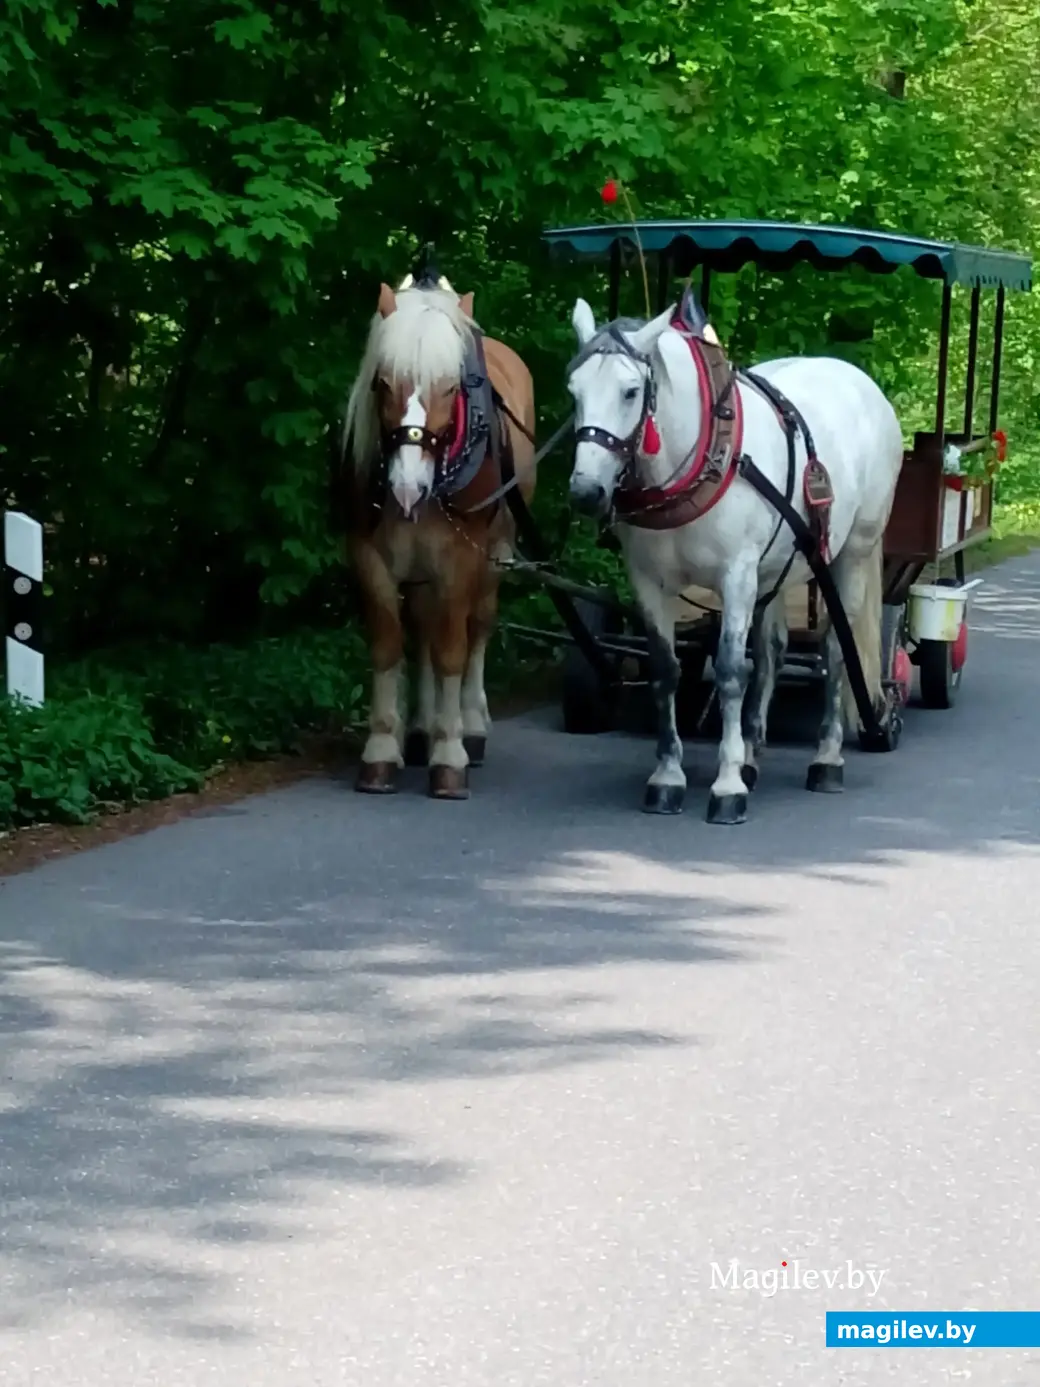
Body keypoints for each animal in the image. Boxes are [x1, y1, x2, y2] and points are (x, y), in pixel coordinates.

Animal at [339, 263, 538, 798]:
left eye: (452, 387)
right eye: (382, 382)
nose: (408, 487)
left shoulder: (459, 559)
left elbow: (452, 651)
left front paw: (449, 755)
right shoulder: (369, 557)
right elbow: (390, 645)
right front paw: (383, 748)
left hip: (495, 553)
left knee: (477, 628)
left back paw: (469, 727)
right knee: (423, 627)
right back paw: (419, 730)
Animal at [565, 287, 909, 815]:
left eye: (630, 391)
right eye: (574, 391)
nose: (585, 491)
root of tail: (861, 382)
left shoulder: (737, 573)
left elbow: (730, 670)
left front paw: (727, 785)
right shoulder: (649, 579)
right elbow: (667, 670)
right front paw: (670, 776)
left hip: (850, 555)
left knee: (835, 651)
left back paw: (826, 760)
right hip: (778, 567)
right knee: (771, 653)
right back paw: (751, 752)